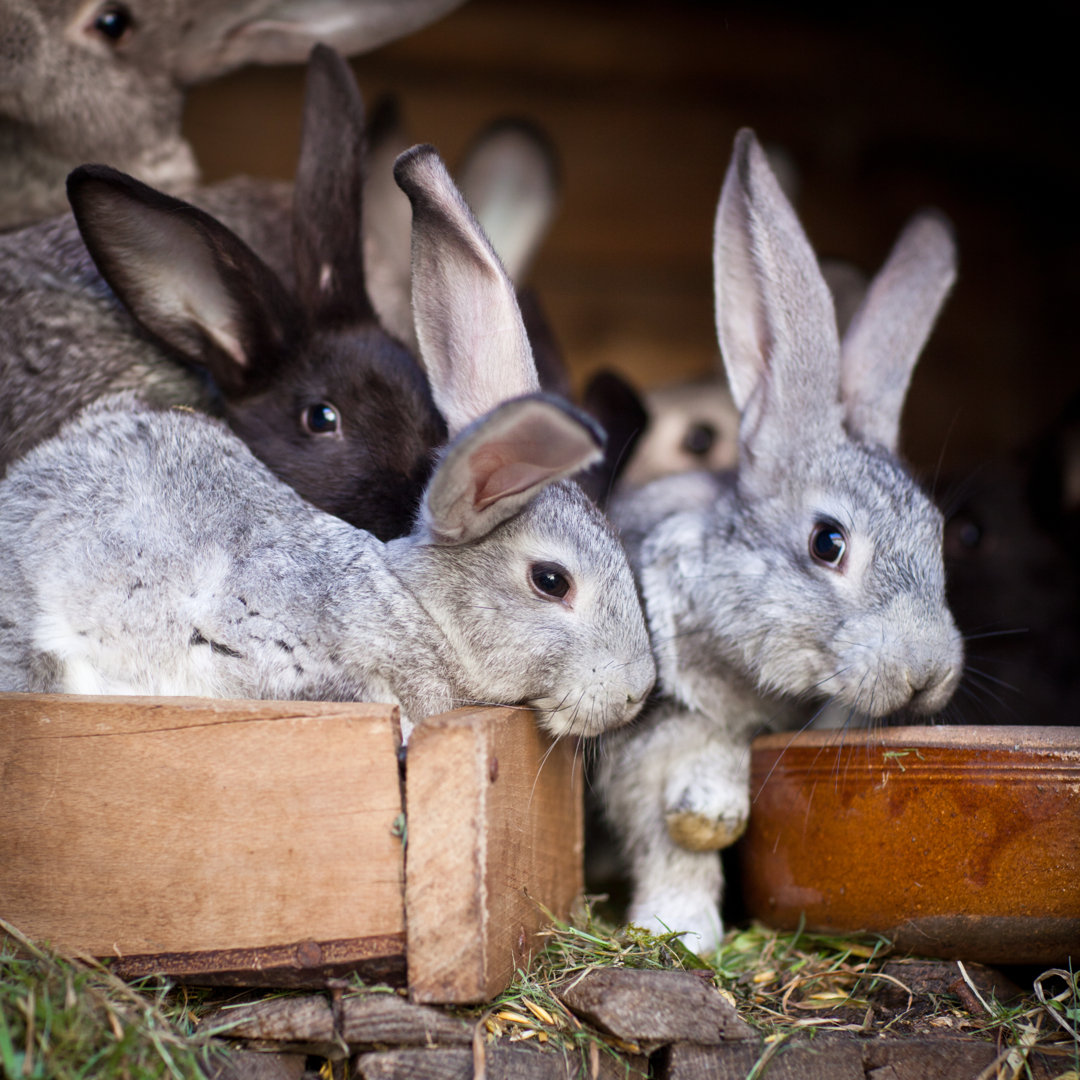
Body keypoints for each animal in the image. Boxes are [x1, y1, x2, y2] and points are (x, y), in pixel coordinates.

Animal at [596, 132, 967, 954]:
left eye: (938, 533)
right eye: (828, 542)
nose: (927, 671)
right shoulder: (654, 735)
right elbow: (673, 835)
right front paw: (680, 926)